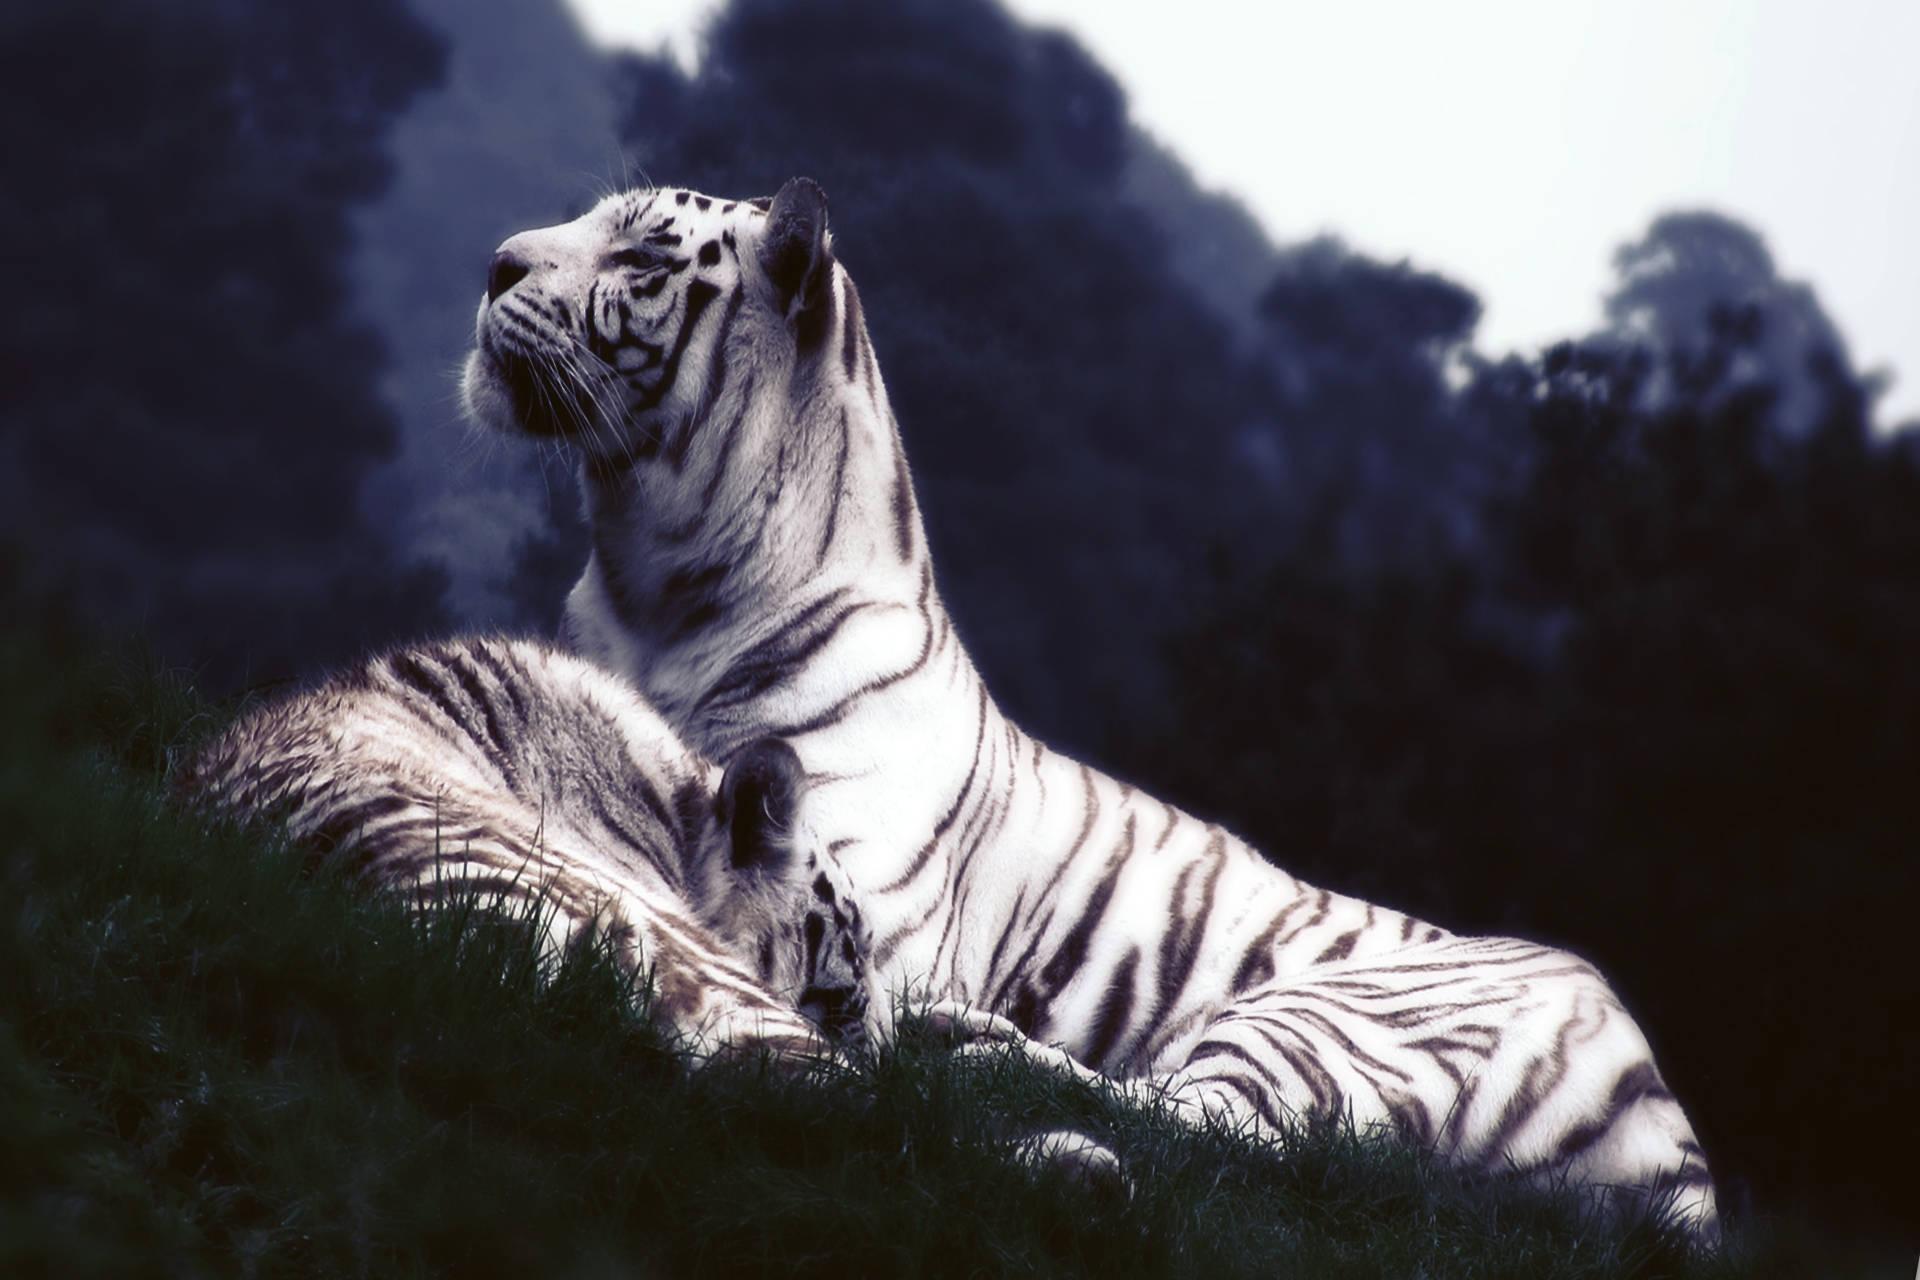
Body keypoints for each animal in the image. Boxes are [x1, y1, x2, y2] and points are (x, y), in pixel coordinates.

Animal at [461, 179, 1719, 1236]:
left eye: (640, 251)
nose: (495, 260)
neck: (652, 587)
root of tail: (1681, 1142)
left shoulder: (854, 899)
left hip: (1334, 1017)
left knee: (1212, 1126)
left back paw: (972, 1054)